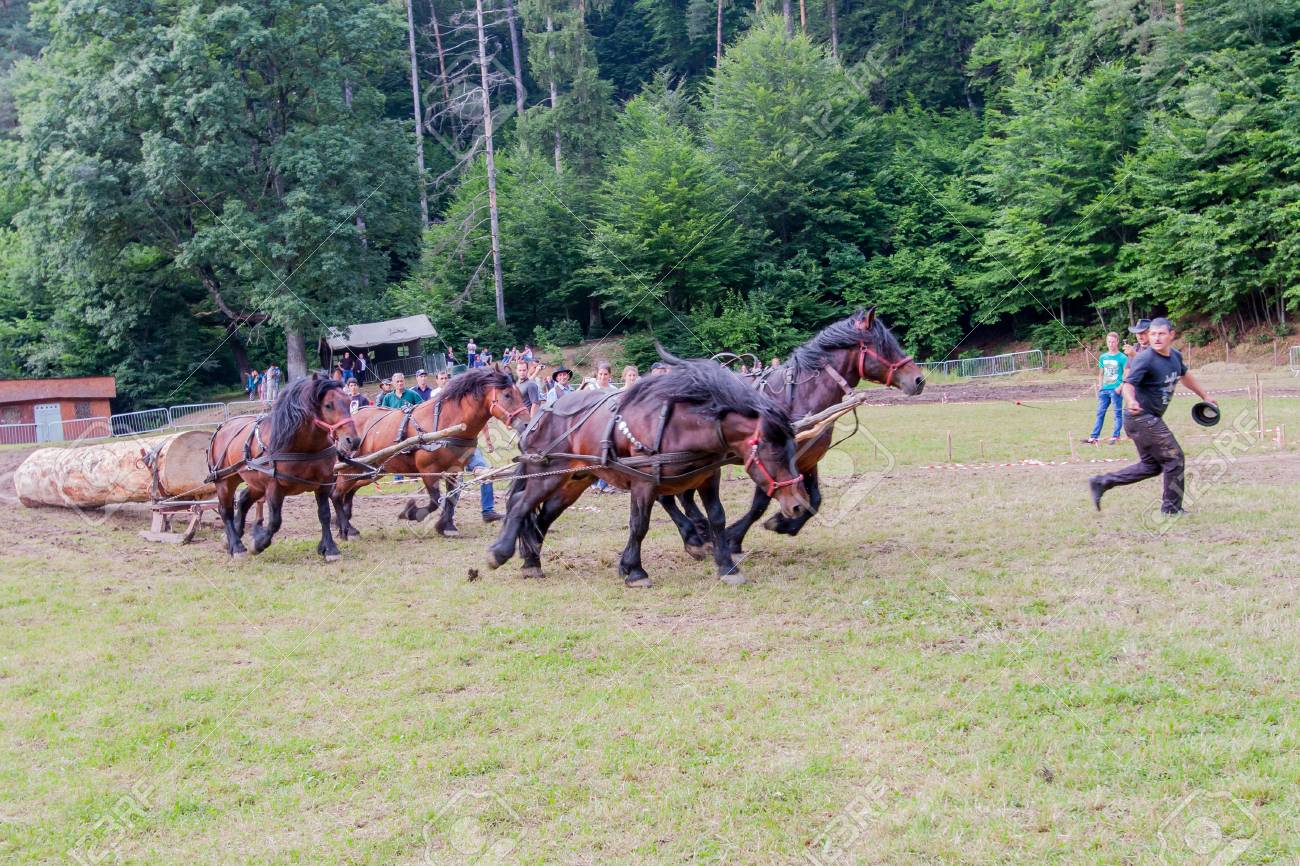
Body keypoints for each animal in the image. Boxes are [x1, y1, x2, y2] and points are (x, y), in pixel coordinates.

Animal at [206, 374, 361, 561]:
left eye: (348, 402)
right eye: (328, 405)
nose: (353, 440)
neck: (301, 447)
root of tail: (222, 427)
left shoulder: (323, 484)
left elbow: (324, 514)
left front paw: (329, 548)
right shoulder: (274, 487)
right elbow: (275, 521)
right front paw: (258, 543)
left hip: (256, 483)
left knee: (243, 500)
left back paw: (231, 536)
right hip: (225, 481)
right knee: (225, 510)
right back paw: (236, 546)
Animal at [331, 368, 530, 539]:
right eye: (507, 395)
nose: (527, 423)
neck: (446, 421)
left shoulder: (454, 470)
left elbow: (451, 497)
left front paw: (447, 526)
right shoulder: (428, 470)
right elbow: (435, 500)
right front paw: (411, 513)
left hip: (370, 472)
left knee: (348, 493)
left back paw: (346, 525)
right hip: (349, 470)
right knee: (336, 495)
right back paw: (346, 529)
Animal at [486, 353, 812, 588]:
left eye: (793, 449)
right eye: (773, 452)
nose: (799, 505)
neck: (677, 425)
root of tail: (541, 413)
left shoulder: (709, 477)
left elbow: (717, 517)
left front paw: (726, 566)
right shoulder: (644, 484)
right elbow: (639, 525)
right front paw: (634, 571)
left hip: (575, 479)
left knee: (543, 515)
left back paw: (532, 560)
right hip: (549, 473)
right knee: (520, 504)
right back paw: (499, 553)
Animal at [662, 308, 925, 556]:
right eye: (884, 345)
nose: (919, 380)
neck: (803, 396)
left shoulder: (807, 460)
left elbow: (814, 499)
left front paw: (782, 524)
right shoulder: (770, 459)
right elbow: (761, 502)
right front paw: (734, 538)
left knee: (682, 495)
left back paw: (698, 531)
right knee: (669, 495)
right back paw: (694, 536)